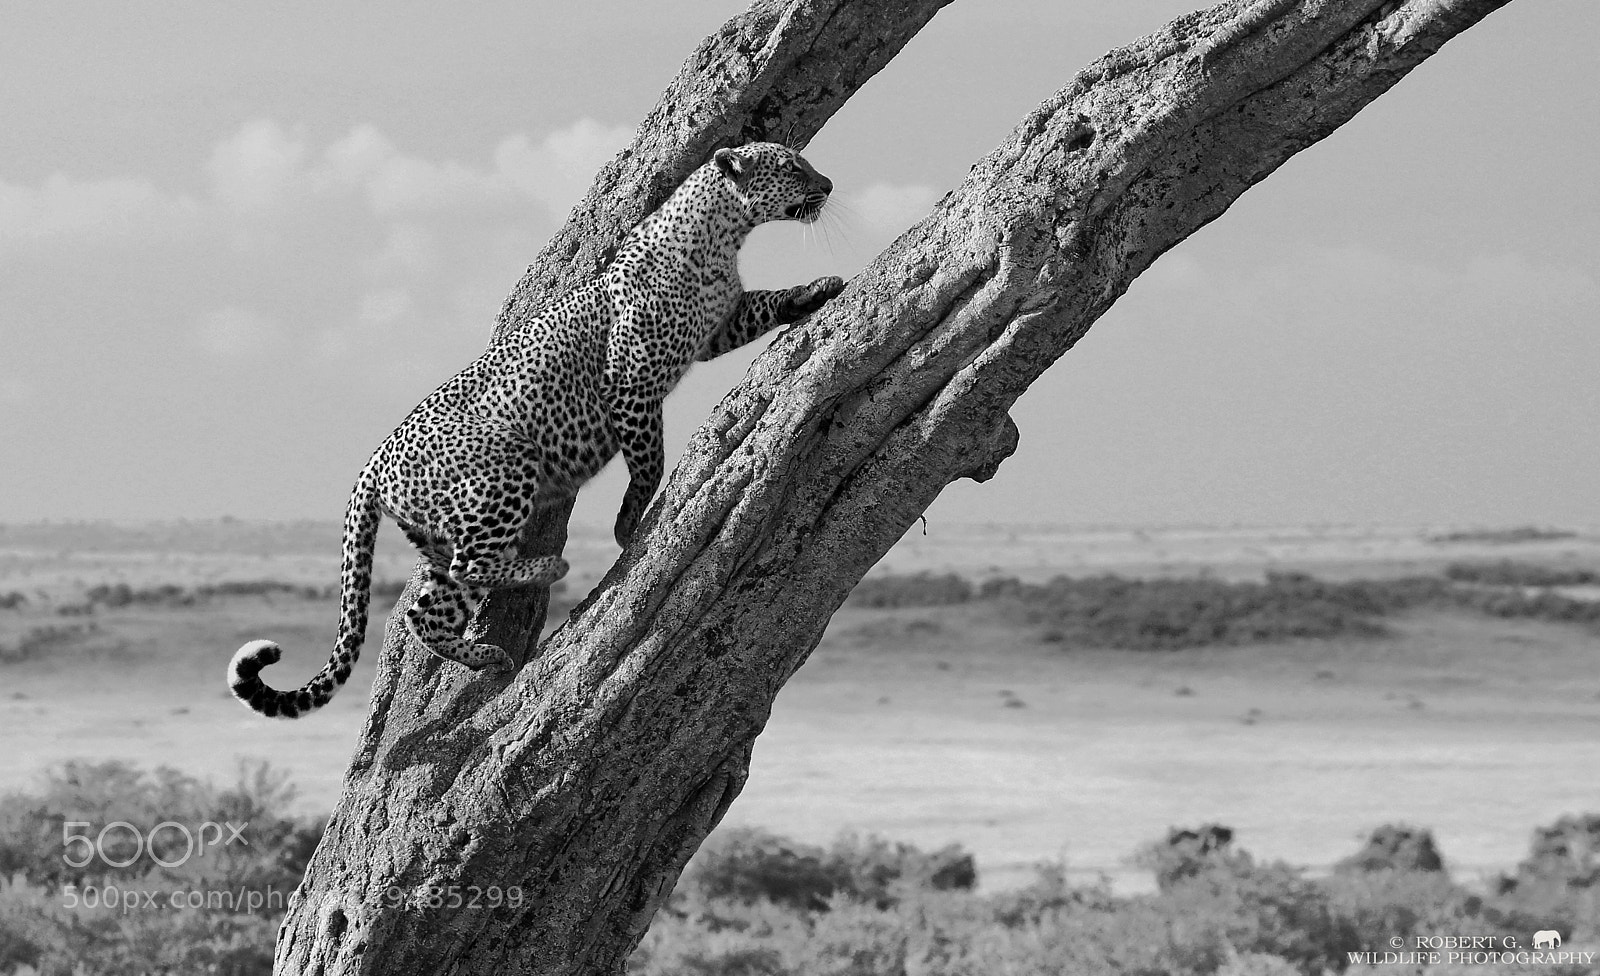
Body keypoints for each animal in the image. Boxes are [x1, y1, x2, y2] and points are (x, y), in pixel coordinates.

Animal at [228, 142, 844, 718]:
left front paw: (818, 289)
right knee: (468, 570)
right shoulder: (631, 383)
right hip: (505, 468)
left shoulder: (720, 326)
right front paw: (629, 524)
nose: (830, 183)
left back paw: (490, 654)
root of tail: (370, 466)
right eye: (792, 167)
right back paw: (548, 569)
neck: (721, 237)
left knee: (427, 608)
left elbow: (765, 304)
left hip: (443, 532)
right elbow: (650, 462)